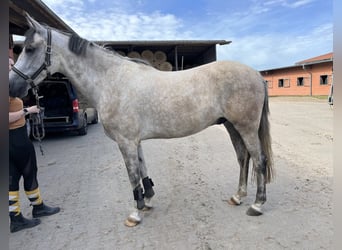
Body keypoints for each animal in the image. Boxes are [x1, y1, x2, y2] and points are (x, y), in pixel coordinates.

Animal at [9, 14, 274, 227]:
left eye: (30, 48)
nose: (13, 87)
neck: (111, 80)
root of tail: (255, 74)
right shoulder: (134, 141)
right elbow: (142, 168)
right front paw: (146, 200)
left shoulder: (125, 142)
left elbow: (132, 175)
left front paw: (135, 214)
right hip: (232, 126)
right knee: (243, 158)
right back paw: (238, 197)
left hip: (246, 127)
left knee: (259, 160)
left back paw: (257, 205)